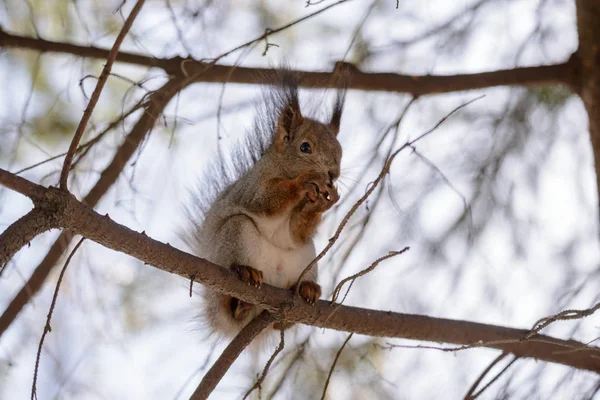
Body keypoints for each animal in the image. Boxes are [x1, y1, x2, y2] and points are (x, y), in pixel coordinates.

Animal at [180, 70, 344, 340]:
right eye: (305, 147)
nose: (333, 175)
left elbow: (297, 233)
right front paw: (304, 181)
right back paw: (244, 283)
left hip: (306, 256)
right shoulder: (254, 187)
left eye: (340, 152)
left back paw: (307, 289)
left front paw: (322, 203)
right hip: (236, 234)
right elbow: (266, 200)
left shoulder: (299, 227)